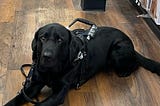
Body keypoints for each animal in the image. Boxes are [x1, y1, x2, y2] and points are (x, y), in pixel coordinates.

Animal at [4, 22, 160, 105]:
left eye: (60, 40)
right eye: (43, 38)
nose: (47, 56)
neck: (51, 72)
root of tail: (129, 41)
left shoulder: (58, 94)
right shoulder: (34, 84)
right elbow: (17, 98)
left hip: (117, 51)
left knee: (135, 64)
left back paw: (125, 71)